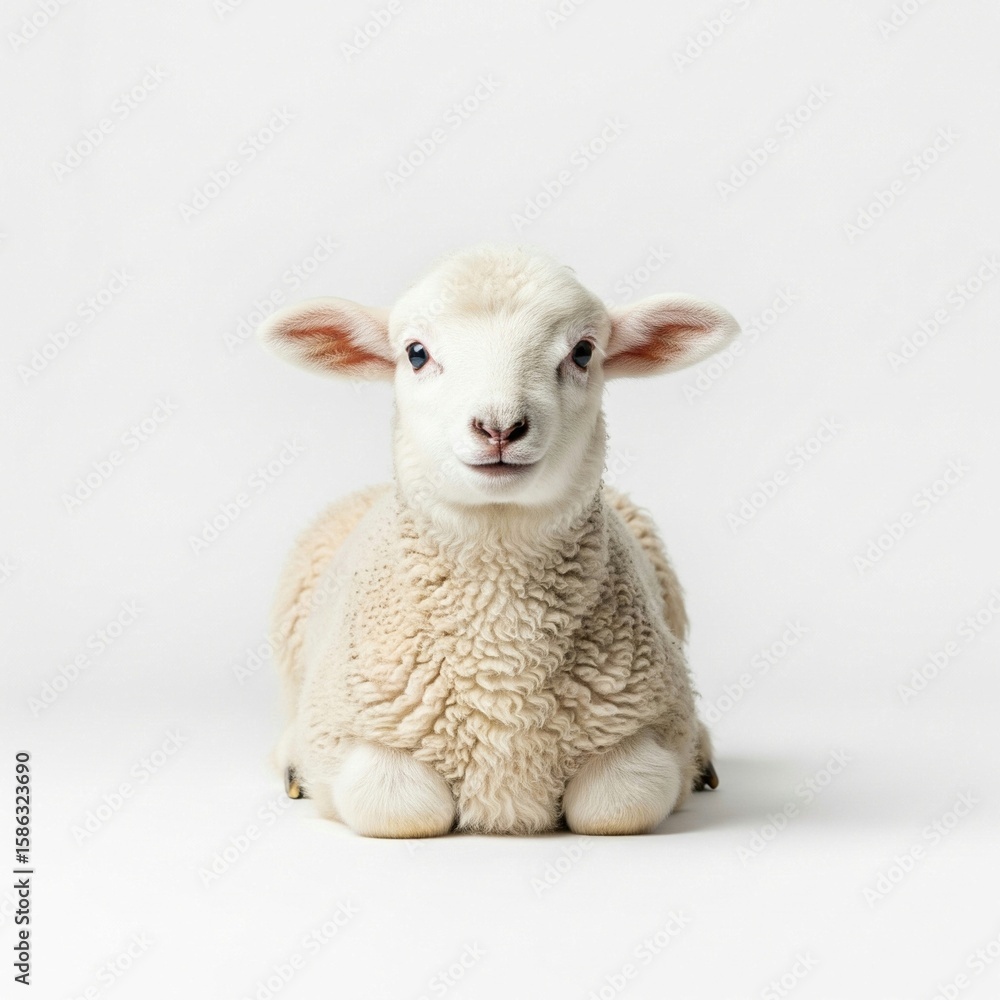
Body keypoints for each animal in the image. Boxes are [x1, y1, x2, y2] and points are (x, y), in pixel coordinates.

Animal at [257, 245, 739, 837]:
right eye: (416, 354)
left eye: (583, 352)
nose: (499, 427)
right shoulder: (345, 728)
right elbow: (401, 805)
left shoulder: (655, 720)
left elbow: (618, 802)